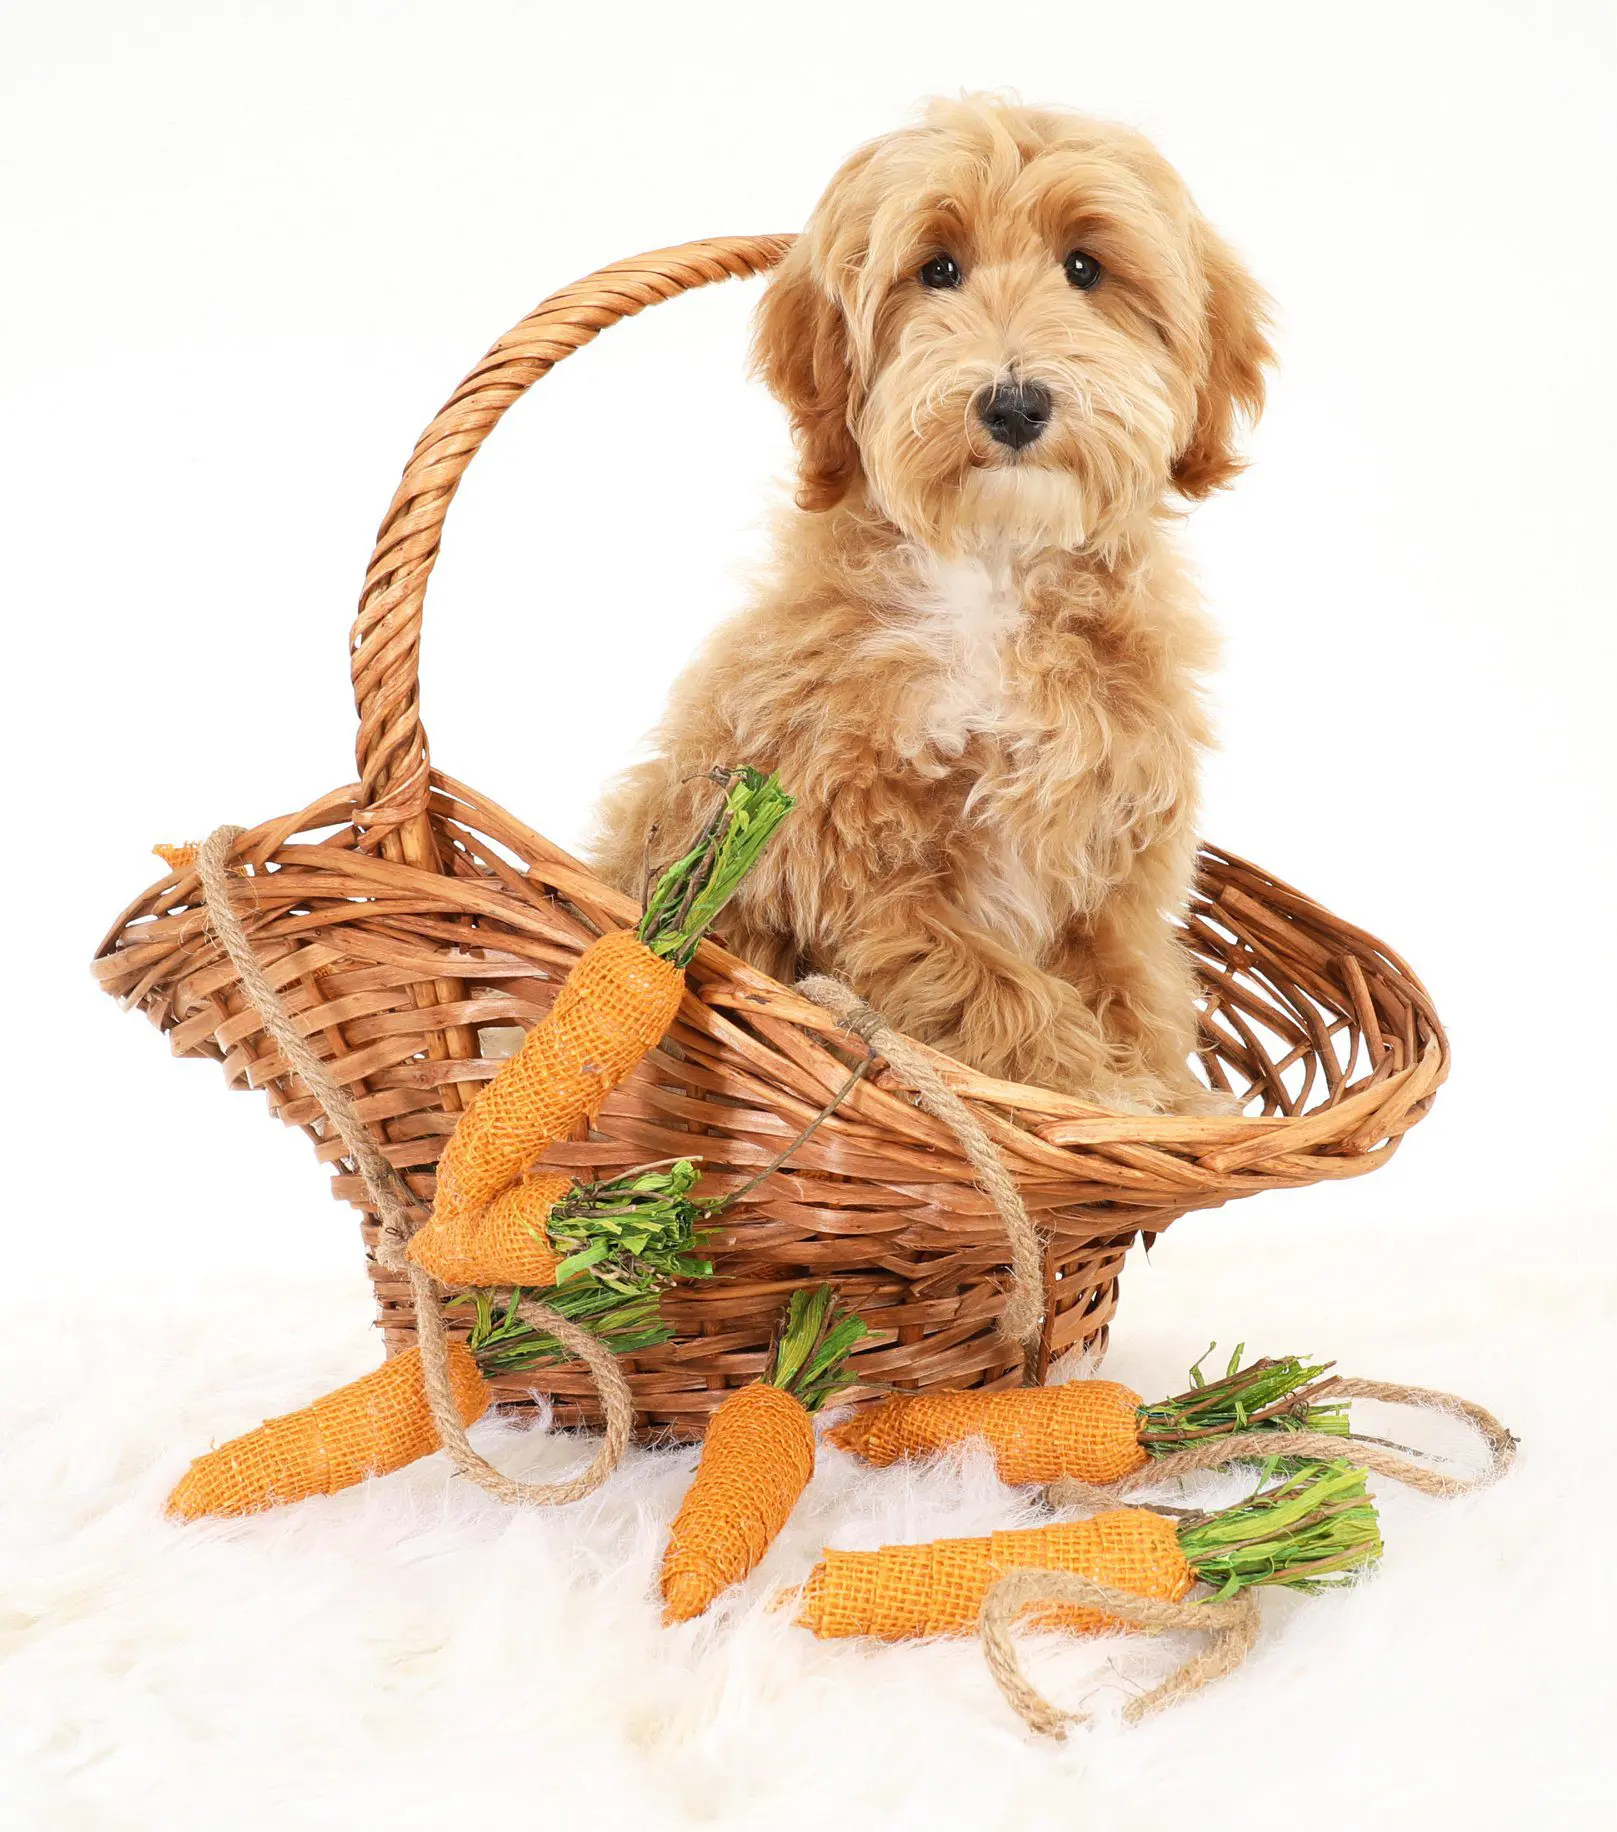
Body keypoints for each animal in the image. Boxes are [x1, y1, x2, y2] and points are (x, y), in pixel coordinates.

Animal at [589, 96, 1274, 1113]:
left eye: (1084, 267)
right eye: (937, 269)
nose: (1015, 403)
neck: (989, 575)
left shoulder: (1114, 862)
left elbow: (1138, 989)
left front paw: (1169, 1103)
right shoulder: (848, 867)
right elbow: (993, 988)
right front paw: (1093, 1094)